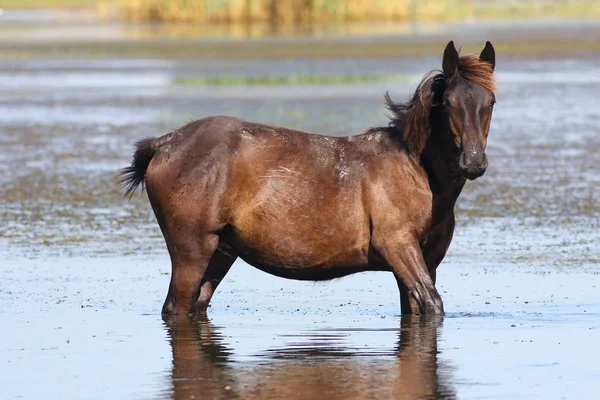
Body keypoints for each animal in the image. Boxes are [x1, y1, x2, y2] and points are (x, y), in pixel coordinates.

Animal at [119, 39, 494, 316]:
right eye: (449, 102)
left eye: (490, 100)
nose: (473, 162)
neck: (415, 171)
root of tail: (164, 143)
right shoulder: (399, 247)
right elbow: (433, 305)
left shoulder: (426, 261)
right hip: (192, 253)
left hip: (220, 253)